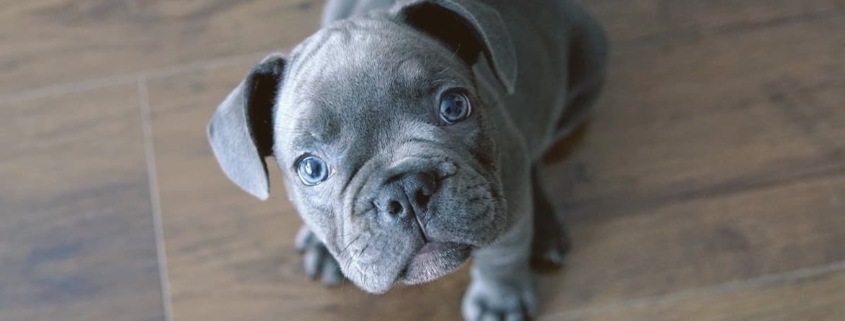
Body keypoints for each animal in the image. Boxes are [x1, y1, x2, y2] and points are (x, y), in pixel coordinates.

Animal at [205, 0, 604, 318]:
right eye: (312, 169)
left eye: (454, 106)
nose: (406, 190)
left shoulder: (508, 212)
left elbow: (502, 256)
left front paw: (498, 302)